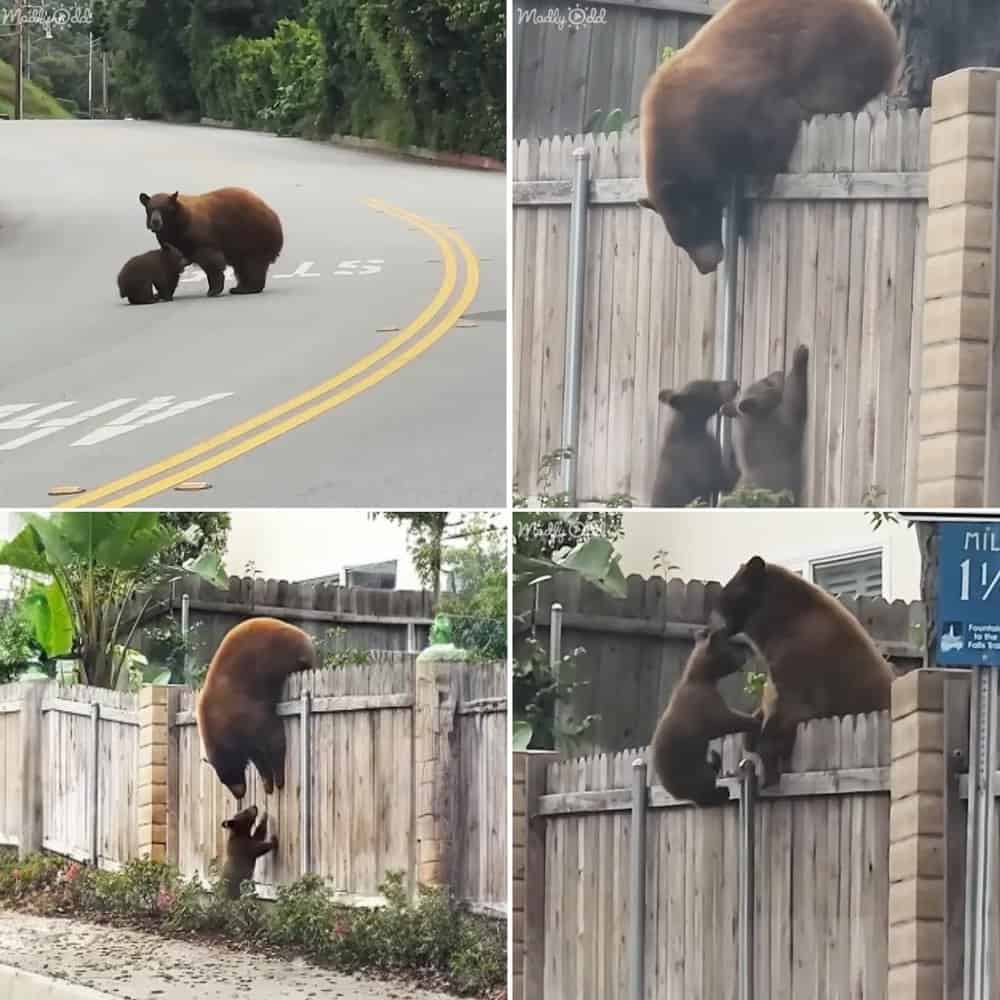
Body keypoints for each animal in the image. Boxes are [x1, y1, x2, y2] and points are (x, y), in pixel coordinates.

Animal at [138, 187, 283, 297]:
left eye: (164, 209)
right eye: (150, 209)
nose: (155, 222)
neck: (178, 225)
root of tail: (273, 214)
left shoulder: (200, 236)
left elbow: (211, 261)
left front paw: (213, 289)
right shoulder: (170, 240)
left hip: (251, 235)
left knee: (252, 263)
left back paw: (247, 288)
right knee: (243, 266)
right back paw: (240, 287)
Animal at [195, 617, 318, 800]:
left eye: (232, 774)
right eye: (224, 781)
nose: (239, 795)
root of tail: (303, 635)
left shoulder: (245, 711)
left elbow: (273, 736)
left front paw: (279, 779)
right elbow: (257, 754)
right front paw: (267, 783)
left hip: (289, 656)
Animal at [638, 0, 899, 273]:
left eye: (695, 226)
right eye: (680, 241)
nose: (707, 266)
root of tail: (883, 23)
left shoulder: (734, 101)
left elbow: (774, 125)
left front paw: (763, 181)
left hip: (840, 51)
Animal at [650, 626, 761, 806]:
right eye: (729, 648)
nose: (744, 655)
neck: (700, 678)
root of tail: (677, 794)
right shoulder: (711, 711)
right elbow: (732, 721)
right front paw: (756, 717)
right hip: (698, 774)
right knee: (705, 795)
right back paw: (721, 791)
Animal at [713, 555, 895, 787]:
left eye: (728, 592)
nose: (715, 607)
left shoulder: (797, 686)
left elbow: (774, 732)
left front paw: (768, 771)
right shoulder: (775, 686)